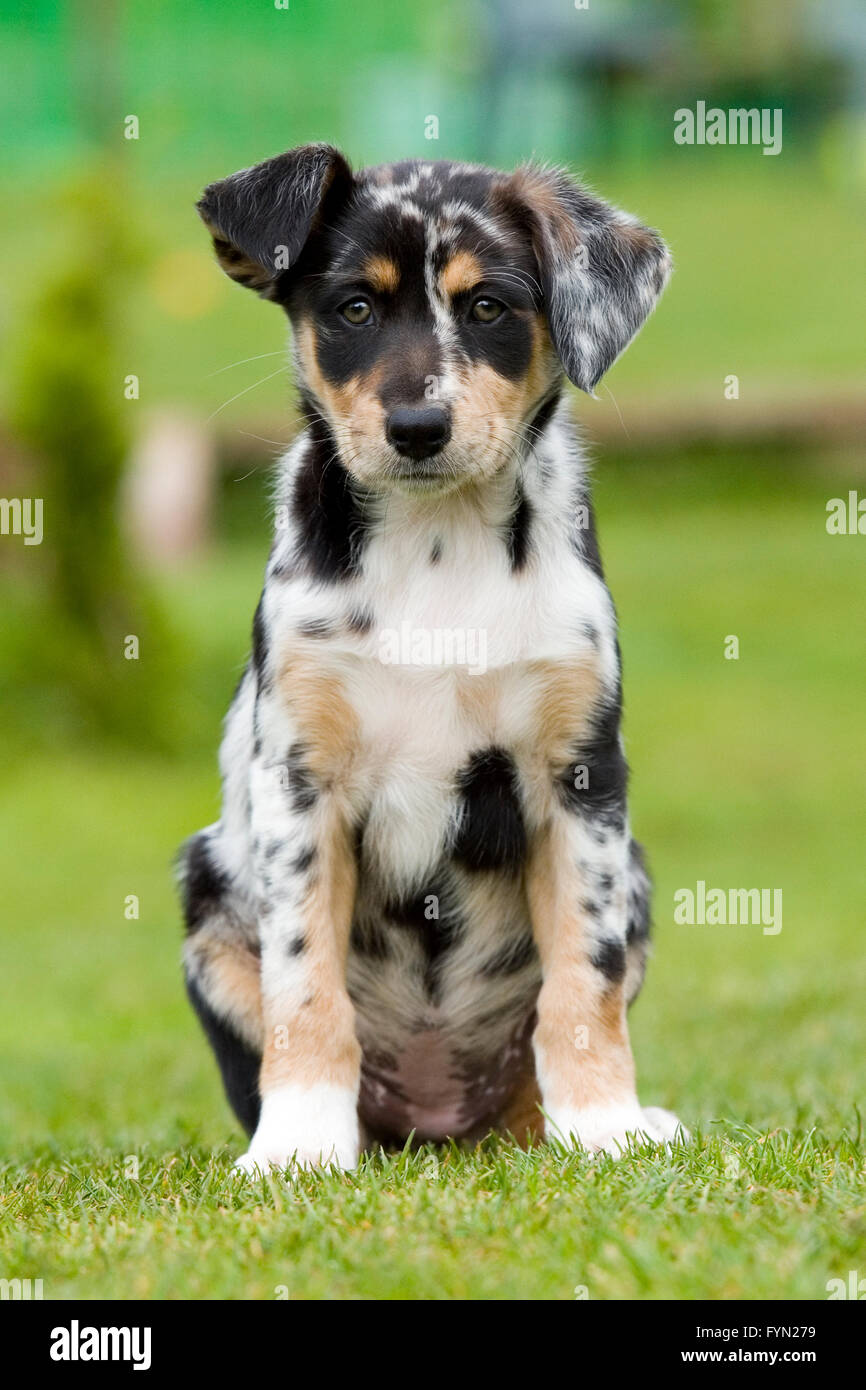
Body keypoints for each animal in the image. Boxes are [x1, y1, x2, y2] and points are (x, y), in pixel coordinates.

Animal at [179, 143, 686, 1173]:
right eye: (353, 309)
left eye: (488, 306)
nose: (417, 429)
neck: (437, 544)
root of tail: (439, 1130)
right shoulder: (299, 780)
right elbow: (306, 986)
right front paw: (298, 1146)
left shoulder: (580, 777)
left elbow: (585, 980)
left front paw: (606, 1126)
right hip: (206, 893)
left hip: (640, 875)